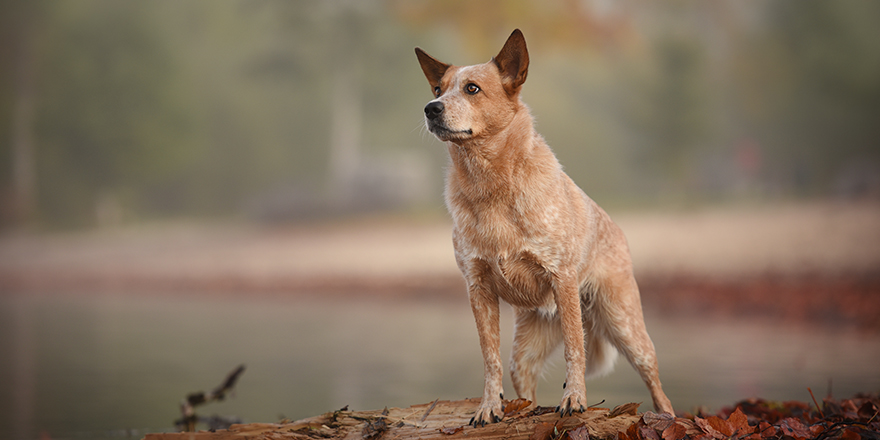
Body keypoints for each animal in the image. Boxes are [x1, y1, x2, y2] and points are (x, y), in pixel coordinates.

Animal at [416, 28, 676, 426]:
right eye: (437, 89)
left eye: (472, 88)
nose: (431, 109)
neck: (491, 186)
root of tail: (616, 227)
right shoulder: (478, 288)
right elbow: (488, 357)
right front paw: (488, 408)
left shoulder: (562, 278)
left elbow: (575, 351)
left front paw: (575, 400)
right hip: (525, 348)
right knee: (525, 384)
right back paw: (523, 410)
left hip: (625, 326)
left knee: (658, 387)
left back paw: (666, 416)